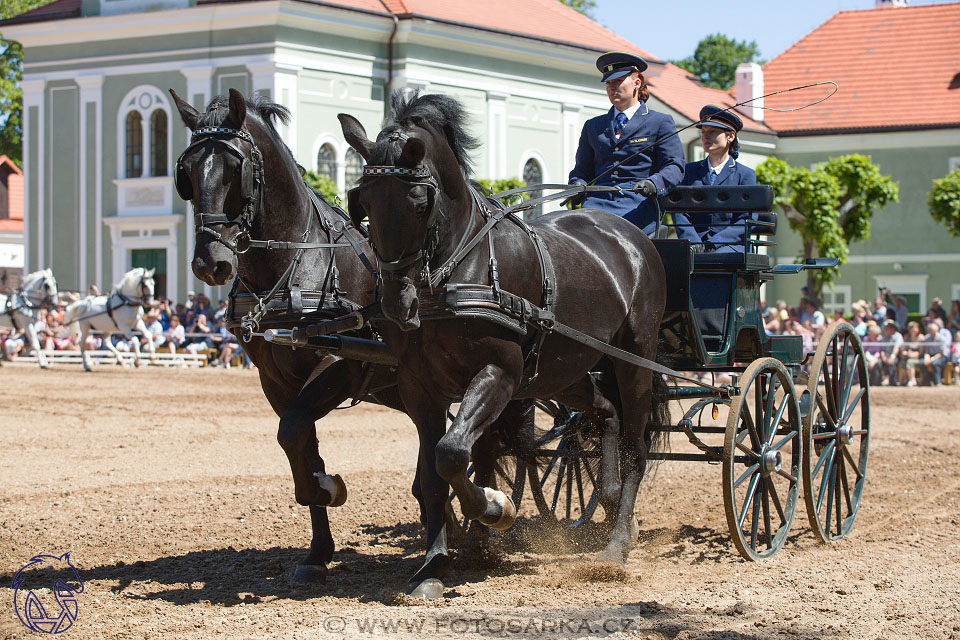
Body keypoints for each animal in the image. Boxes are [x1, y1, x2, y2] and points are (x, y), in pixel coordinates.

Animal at [172, 90, 532, 584]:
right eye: (186, 173)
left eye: (235, 169)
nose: (211, 263)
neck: (298, 263)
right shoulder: (274, 380)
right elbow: (297, 442)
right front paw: (317, 547)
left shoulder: (340, 365)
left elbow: (294, 434)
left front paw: (328, 488)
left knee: (481, 449)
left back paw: (482, 527)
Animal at [342, 92, 672, 596]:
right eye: (362, 203)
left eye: (419, 202)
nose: (398, 303)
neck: (457, 267)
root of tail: (629, 234)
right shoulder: (420, 387)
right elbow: (435, 473)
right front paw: (434, 567)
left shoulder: (500, 374)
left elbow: (452, 454)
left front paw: (496, 509)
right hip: (563, 371)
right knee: (604, 414)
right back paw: (613, 499)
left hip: (635, 358)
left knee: (637, 443)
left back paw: (616, 544)